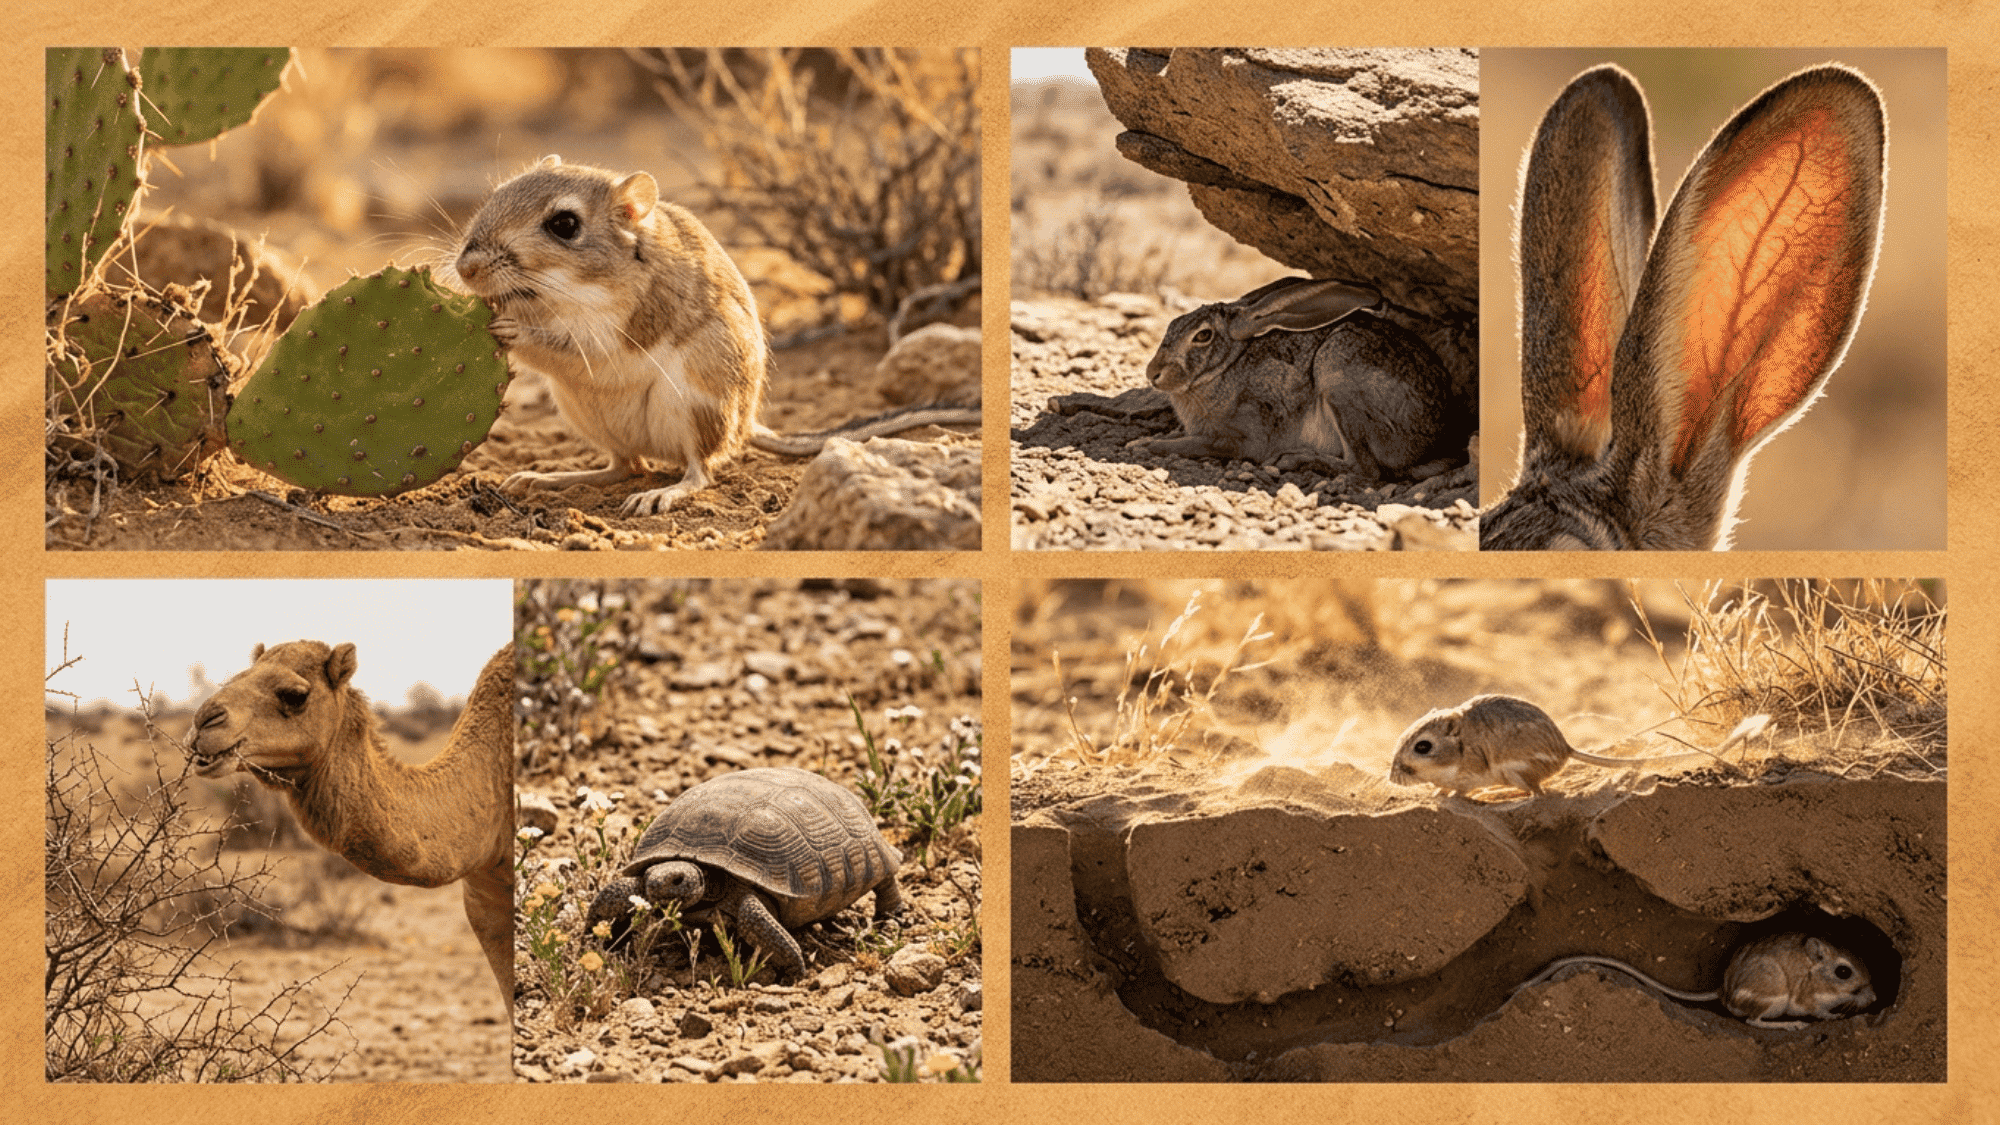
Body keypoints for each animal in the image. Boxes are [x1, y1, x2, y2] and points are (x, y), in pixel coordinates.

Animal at [1128, 277, 1473, 483]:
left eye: (1202, 336)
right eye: (1172, 324)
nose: (1153, 373)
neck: (1225, 366)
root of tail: (1434, 442)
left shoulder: (1244, 436)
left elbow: (1196, 444)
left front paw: (1147, 444)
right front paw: (1142, 440)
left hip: (1338, 377)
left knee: (1366, 470)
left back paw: (1295, 460)